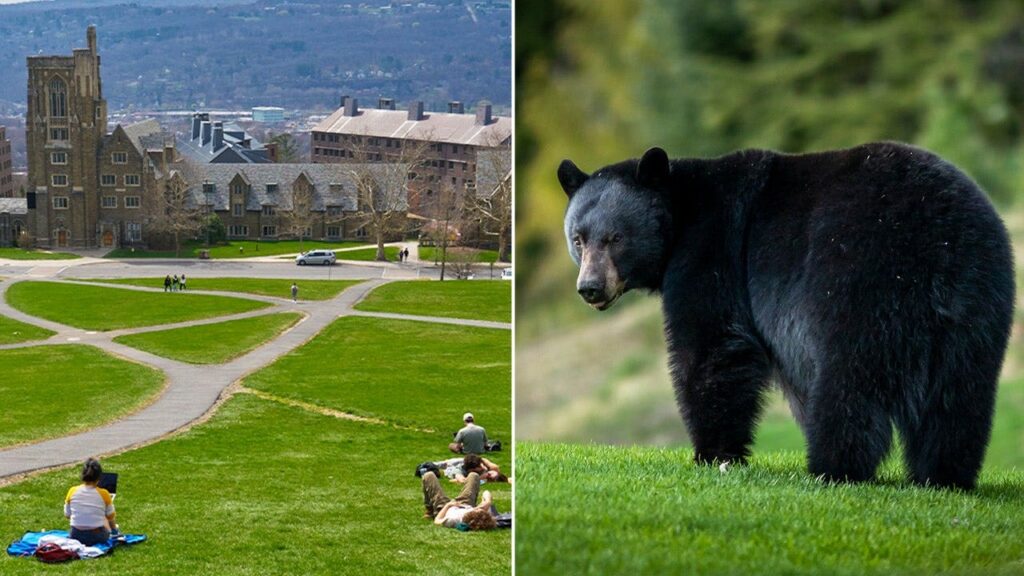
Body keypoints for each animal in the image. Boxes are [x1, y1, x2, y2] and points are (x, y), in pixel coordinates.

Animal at [558, 142, 1015, 490]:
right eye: (579, 239)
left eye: (616, 238)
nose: (590, 288)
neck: (683, 211)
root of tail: (939, 239)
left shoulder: (713, 251)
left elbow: (711, 346)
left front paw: (713, 453)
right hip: (979, 302)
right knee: (959, 397)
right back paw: (944, 476)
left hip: (862, 280)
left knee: (850, 384)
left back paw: (834, 467)